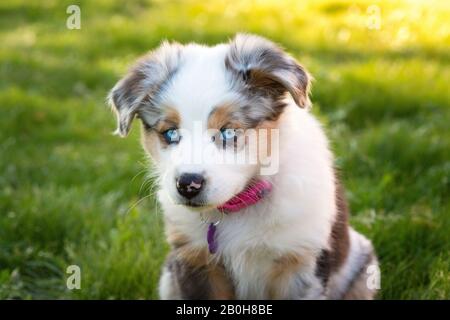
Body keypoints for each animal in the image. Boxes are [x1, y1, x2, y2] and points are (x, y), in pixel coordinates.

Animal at [109, 33, 380, 298]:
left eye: (228, 132)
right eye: (170, 133)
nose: (188, 185)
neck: (238, 207)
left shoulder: (300, 263)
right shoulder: (195, 260)